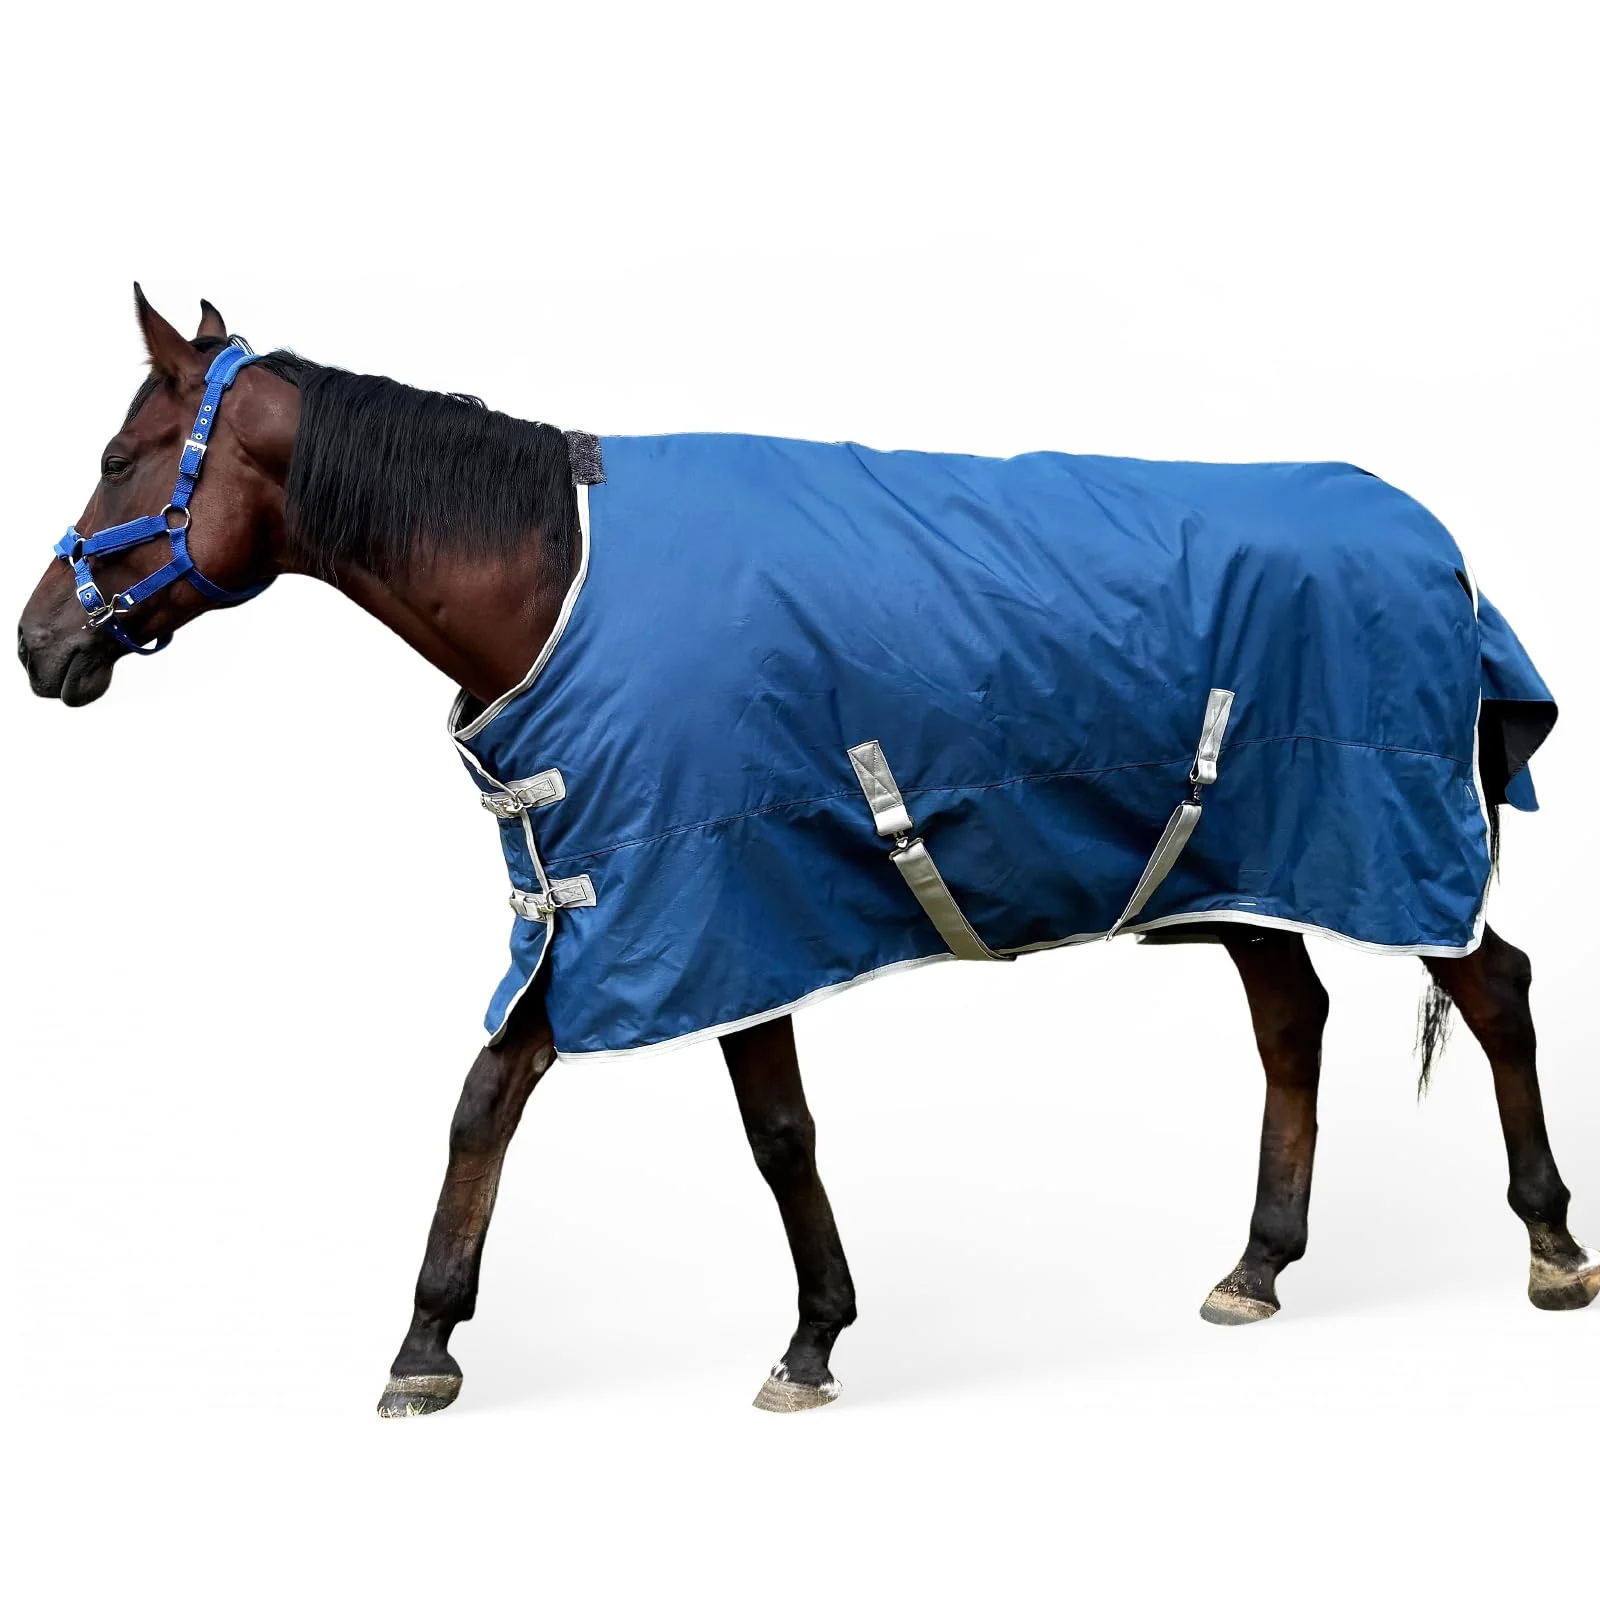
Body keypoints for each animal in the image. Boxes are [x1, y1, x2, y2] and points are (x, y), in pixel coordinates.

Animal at [19, 287, 1597, 1419]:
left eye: (117, 458)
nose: (38, 644)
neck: (556, 579)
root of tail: (1444, 550)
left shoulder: (720, 903)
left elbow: (774, 1134)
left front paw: (809, 1341)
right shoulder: (591, 910)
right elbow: (485, 1102)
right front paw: (426, 1344)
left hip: (1394, 841)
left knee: (1496, 988)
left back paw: (1549, 1248)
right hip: (1249, 863)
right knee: (1292, 1020)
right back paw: (1259, 1266)